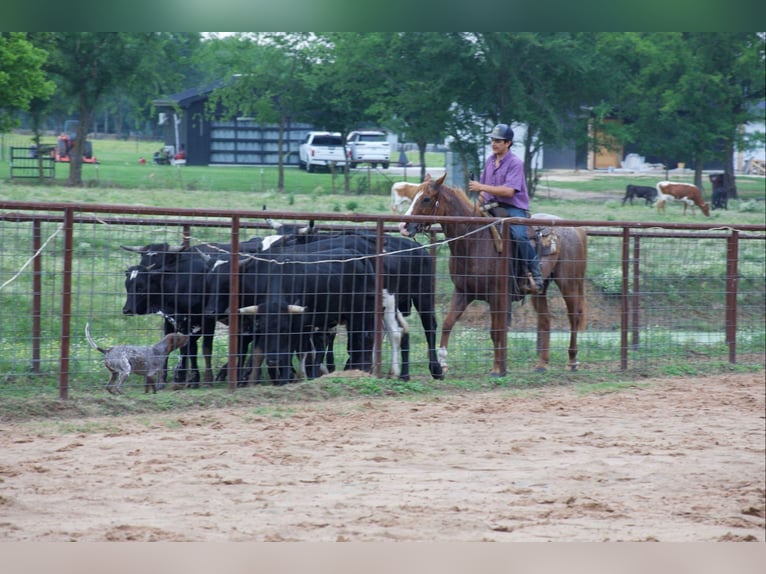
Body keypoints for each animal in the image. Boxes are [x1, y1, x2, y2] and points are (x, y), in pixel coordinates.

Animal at [400, 173, 587, 376]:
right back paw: (542, 364)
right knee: (545, 319)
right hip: (540, 289)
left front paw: (498, 368)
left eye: (426, 198)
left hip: (568, 282)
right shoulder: (463, 292)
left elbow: (496, 331)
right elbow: (448, 323)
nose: (404, 226)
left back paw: (572, 361)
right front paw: (442, 363)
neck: (474, 241)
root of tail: (576, 229)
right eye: (413, 196)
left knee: (574, 316)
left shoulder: (497, 296)